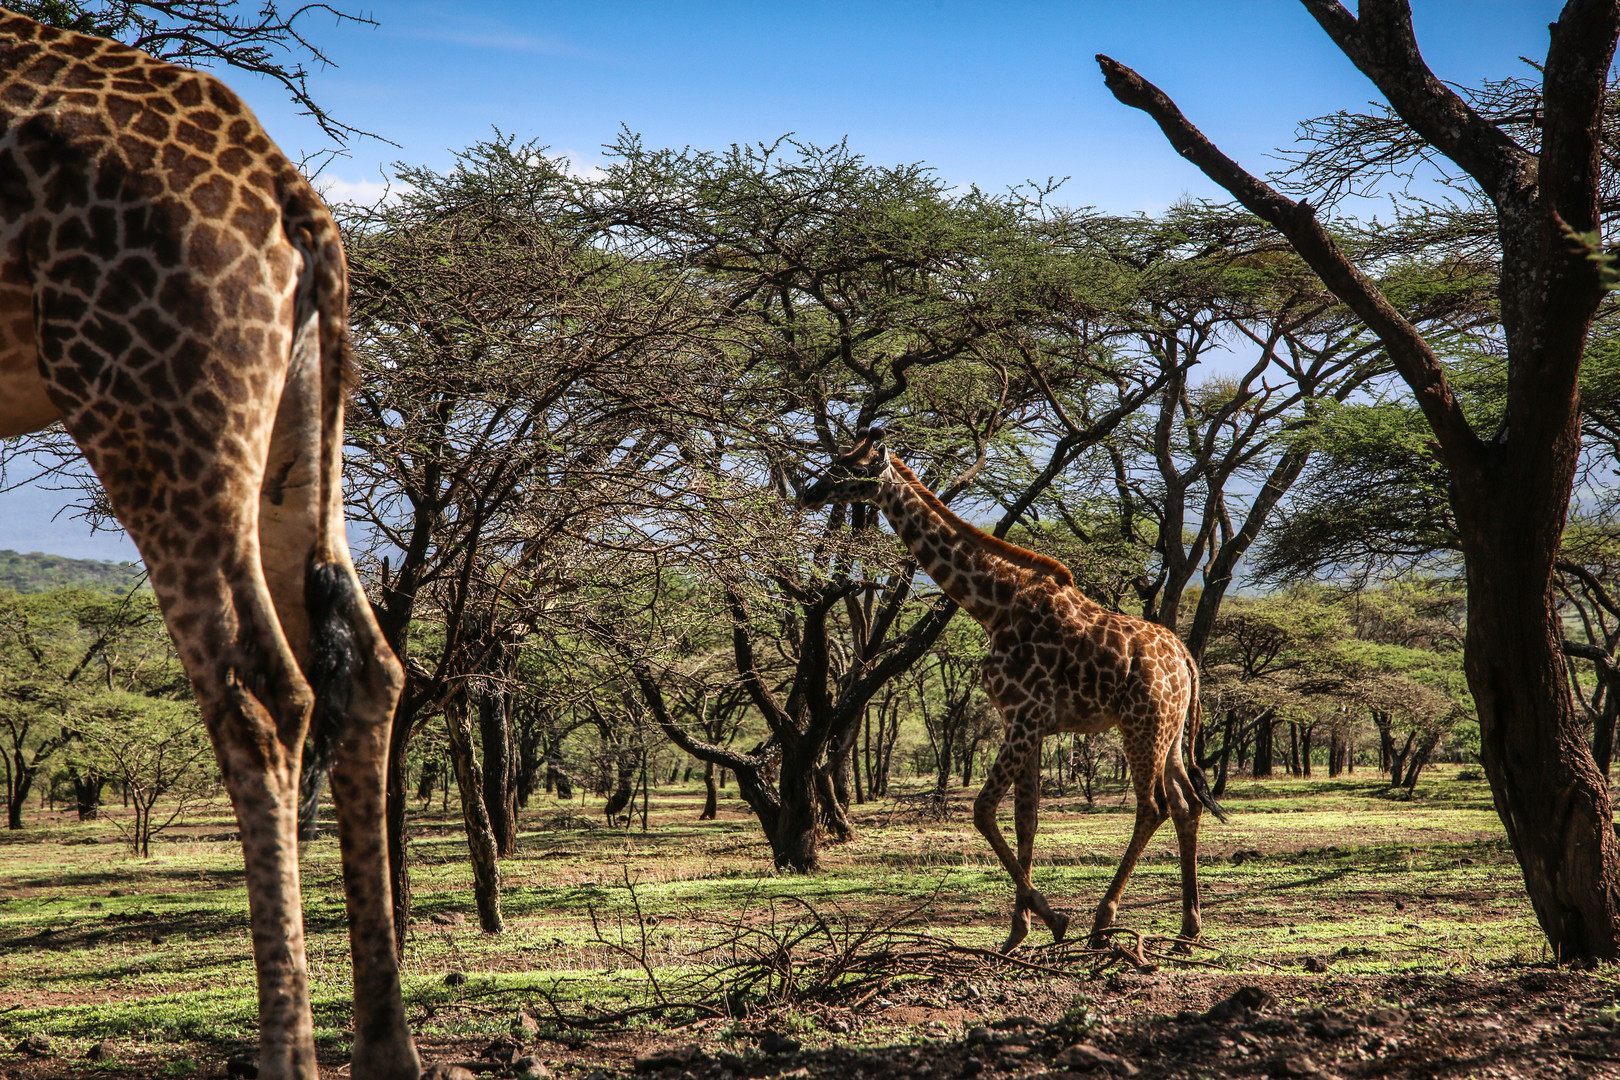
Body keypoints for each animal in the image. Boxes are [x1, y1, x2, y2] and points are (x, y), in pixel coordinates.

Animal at [1, 10, 417, 1080]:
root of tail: (294, 198)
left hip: (152, 406)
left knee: (262, 691)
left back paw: (289, 1056)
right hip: (298, 421)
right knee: (369, 668)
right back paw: (385, 1050)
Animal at [797, 430, 1224, 952]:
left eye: (851, 468)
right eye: (837, 459)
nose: (810, 492)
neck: (992, 604)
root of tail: (1186, 658)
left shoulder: (1023, 716)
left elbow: (982, 810)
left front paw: (1052, 918)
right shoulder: (1028, 724)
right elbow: (1027, 818)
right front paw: (1018, 931)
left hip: (1141, 726)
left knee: (1153, 806)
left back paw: (1104, 920)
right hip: (1170, 731)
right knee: (1185, 805)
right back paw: (1189, 927)